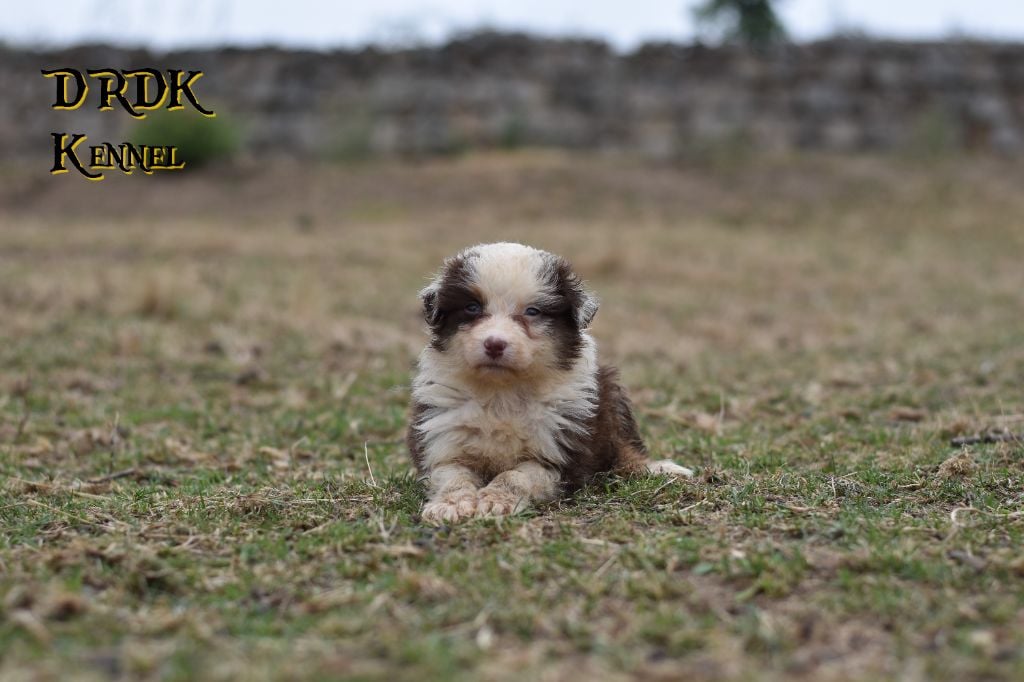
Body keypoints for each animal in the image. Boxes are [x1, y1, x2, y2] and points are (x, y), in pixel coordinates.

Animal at [405, 241, 688, 522]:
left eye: (533, 311)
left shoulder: (561, 449)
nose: (494, 344)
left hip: (613, 399)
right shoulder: (441, 437)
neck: (502, 392)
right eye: (472, 307)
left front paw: (495, 501)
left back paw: (663, 469)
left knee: (626, 449)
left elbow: (515, 475)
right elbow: (452, 476)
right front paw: (451, 505)